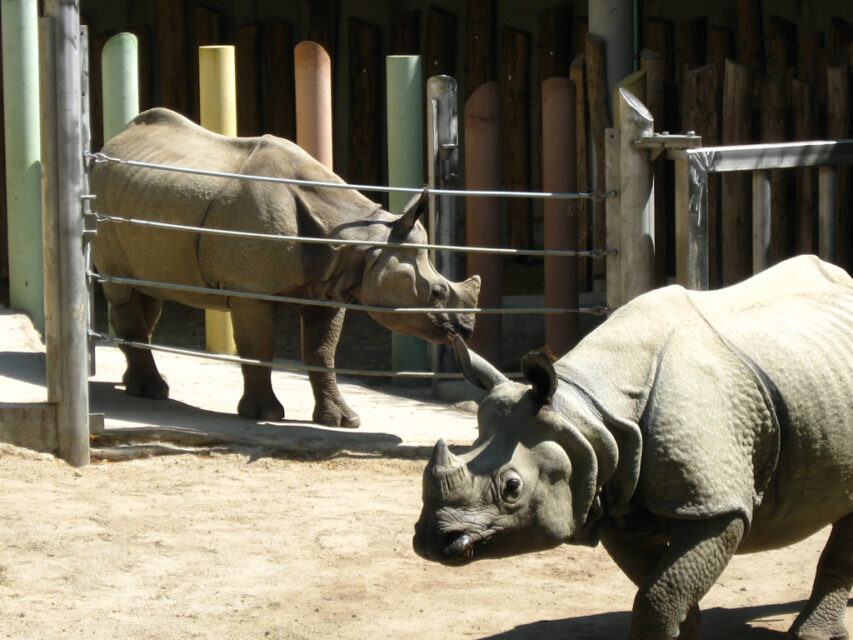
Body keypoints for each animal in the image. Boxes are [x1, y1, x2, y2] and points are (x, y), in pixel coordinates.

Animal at [91, 108, 480, 428]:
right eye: (436, 291)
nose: (467, 329)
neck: (364, 241)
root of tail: (112, 143)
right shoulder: (250, 291)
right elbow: (259, 349)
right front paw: (264, 414)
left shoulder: (330, 288)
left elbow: (322, 354)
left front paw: (343, 420)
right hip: (103, 204)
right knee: (123, 289)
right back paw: (152, 391)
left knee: (148, 292)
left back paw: (135, 383)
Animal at [414, 255, 853, 640]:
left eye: (512, 488)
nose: (434, 541)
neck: (586, 409)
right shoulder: (615, 496)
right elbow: (662, 590)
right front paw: (685, 634)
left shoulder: (716, 503)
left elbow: (659, 595)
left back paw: (811, 634)